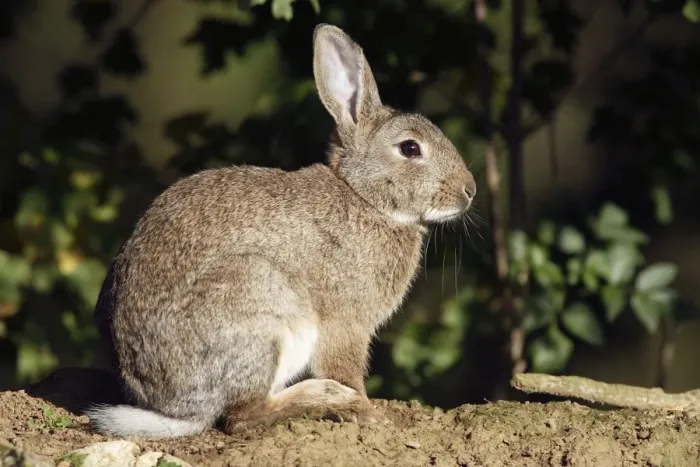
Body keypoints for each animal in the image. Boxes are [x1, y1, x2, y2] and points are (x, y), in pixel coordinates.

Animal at [86, 23, 476, 438]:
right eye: (410, 148)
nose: (469, 190)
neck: (364, 197)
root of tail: (176, 410)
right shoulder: (347, 322)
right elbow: (347, 368)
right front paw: (368, 412)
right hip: (261, 308)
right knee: (242, 416)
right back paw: (324, 396)